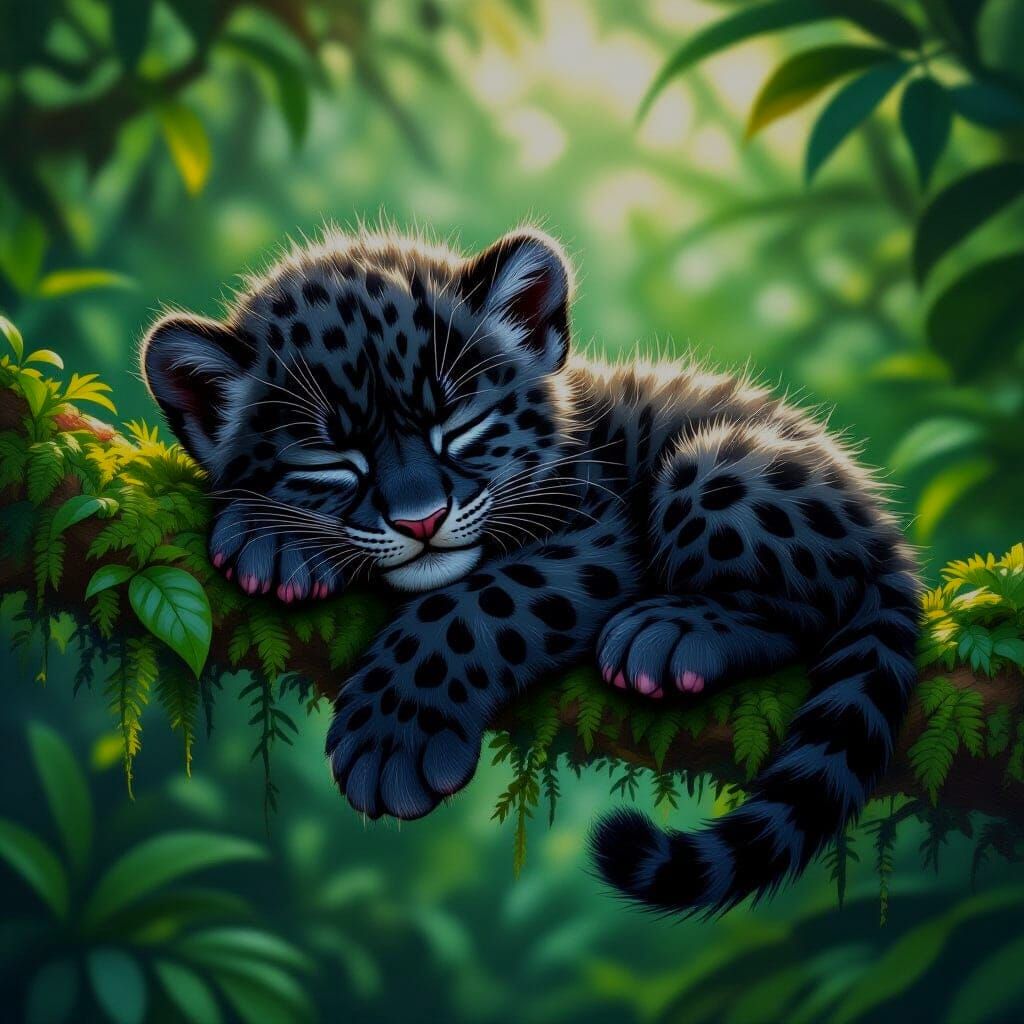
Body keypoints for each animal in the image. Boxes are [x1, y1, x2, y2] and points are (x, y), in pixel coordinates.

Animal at [141, 225, 920, 915]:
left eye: (459, 427)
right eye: (331, 460)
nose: (421, 520)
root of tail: (882, 525)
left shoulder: (598, 533)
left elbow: (481, 603)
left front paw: (393, 736)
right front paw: (268, 538)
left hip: (714, 467)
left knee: (817, 603)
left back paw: (667, 636)